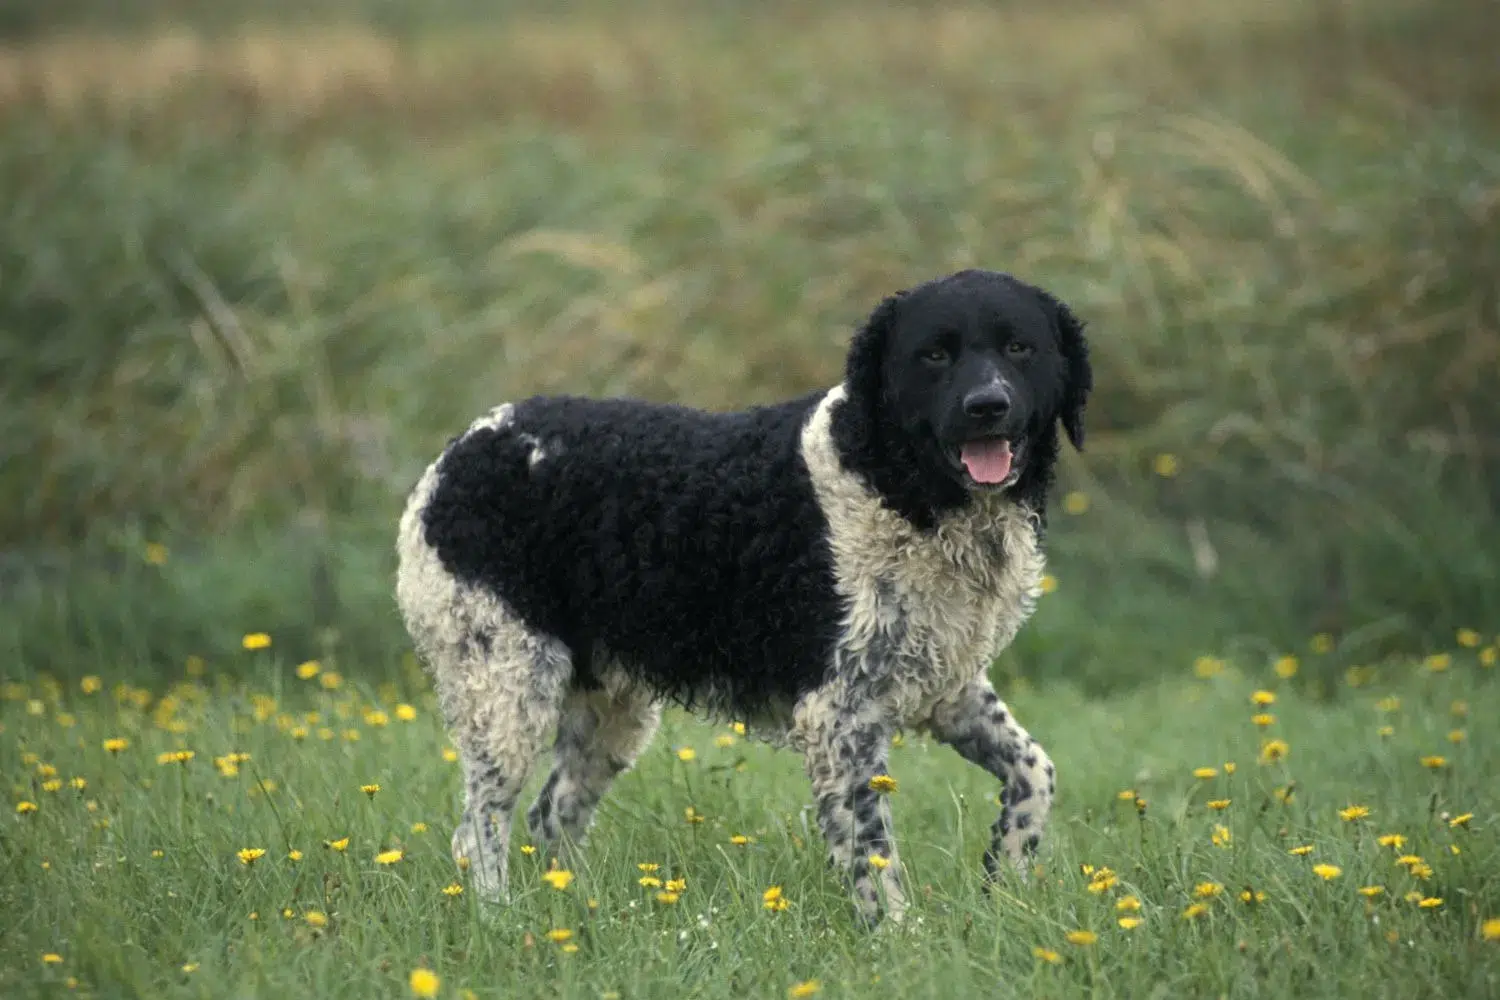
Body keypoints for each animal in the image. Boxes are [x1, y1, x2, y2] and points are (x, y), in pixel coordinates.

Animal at [396, 265, 1092, 923]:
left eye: (1019, 347)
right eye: (935, 354)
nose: (987, 404)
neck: (896, 483)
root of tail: (461, 449)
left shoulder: (946, 685)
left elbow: (1036, 774)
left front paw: (1006, 880)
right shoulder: (839, 714)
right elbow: (874, 854)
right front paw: (902, 941)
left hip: (608, 711)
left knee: (551, 817)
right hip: (507, 687)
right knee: (479, 831)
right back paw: (503, 922)